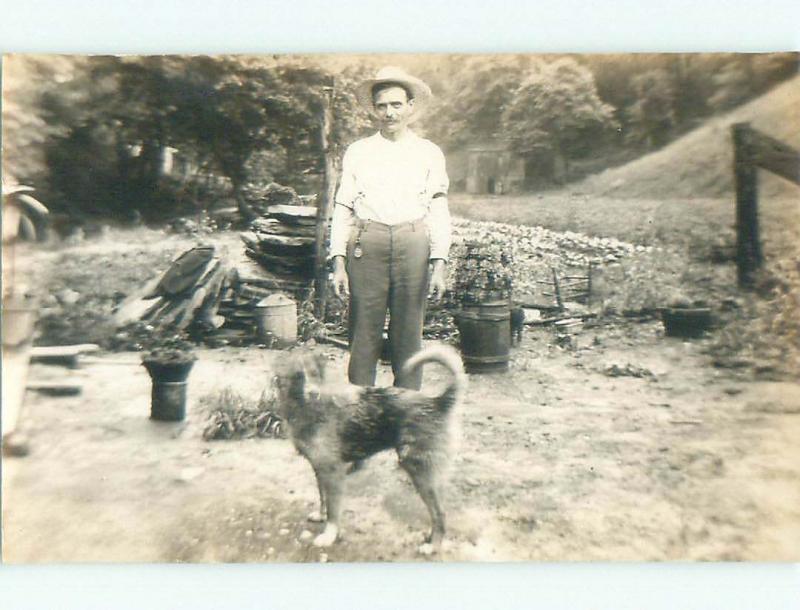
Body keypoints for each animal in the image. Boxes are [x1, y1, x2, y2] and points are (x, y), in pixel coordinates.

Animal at [272, 344, 466, 552]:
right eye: (298, 377)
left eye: (315, 373)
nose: (314, 393)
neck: (309, 408)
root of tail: (437, 403)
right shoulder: (319, 468)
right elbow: (322, 497)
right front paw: (321, 515)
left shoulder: (333, 473)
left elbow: (333, 509)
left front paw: (329, 535)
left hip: (422, 475)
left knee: (440, 514)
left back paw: (433, 545)